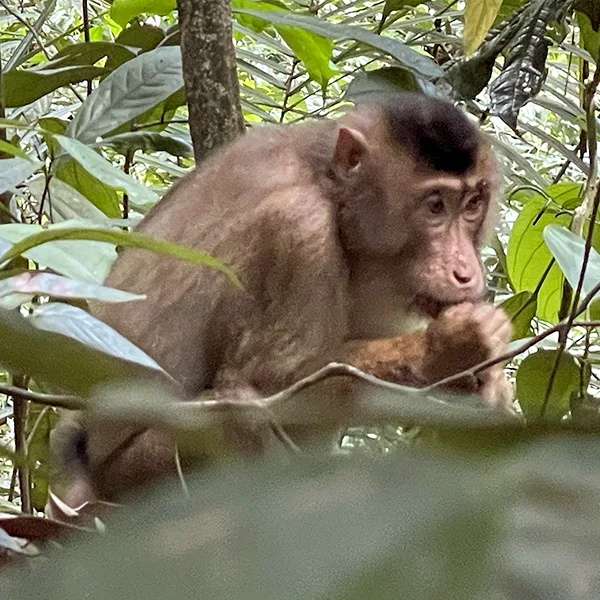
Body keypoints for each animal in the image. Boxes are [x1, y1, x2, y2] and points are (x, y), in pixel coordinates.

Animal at [49, 92, 512, 506]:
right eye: (435, 206)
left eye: (473, 204)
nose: (465, 272)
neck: (330, 189)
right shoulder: (296, 229)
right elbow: (268, 382)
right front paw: (450, 350)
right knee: (239, 414)